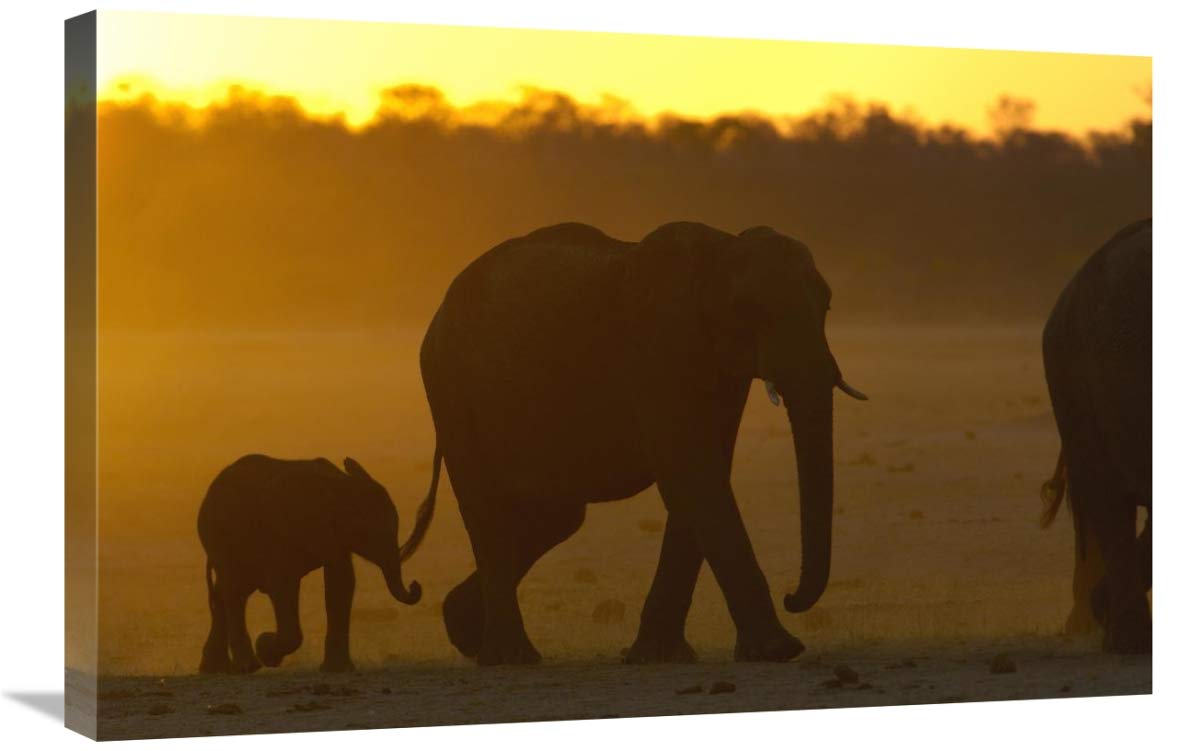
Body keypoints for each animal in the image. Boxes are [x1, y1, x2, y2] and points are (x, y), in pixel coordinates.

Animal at [197, 454, 434, 673]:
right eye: (373, 534)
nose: (415, 585)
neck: (341, 485)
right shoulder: (283, 529)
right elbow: (282, 584)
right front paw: (266, 650)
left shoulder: (334, 538)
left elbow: (342, 582)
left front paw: (338, 670)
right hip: (221, 537)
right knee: (233, 590)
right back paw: (247, 667)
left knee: (228, 591)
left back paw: (216, 669)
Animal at [416, 221, 866, 666]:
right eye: (748, 310)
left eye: (827, 306)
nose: (792, 596)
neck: (719, 252)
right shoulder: (656, 350)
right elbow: (693, 473)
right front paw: (776, 651)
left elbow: (705, 474)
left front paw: (661, 656)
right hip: (448, 385)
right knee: (487, 506)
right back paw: (510, 657)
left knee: (558, 516)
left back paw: (465, 632)